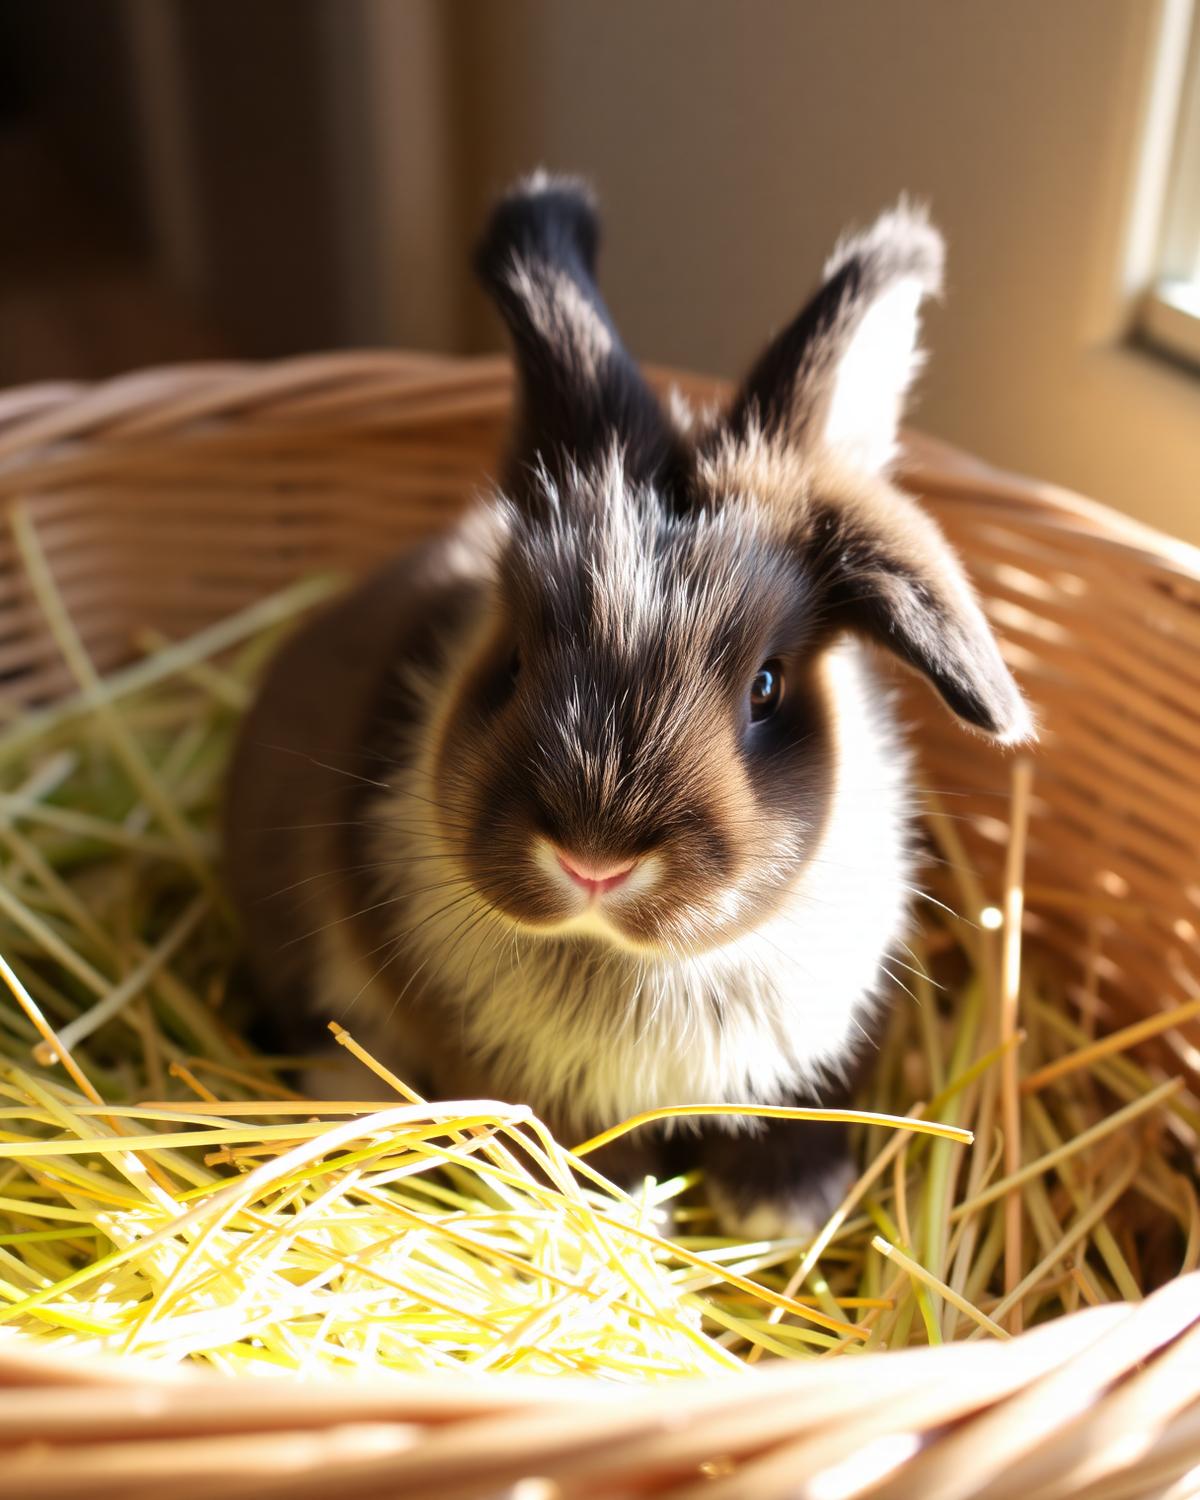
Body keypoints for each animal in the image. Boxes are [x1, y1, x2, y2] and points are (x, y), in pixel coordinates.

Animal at [223, 173, 1032, 1237]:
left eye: (767, 686)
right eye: (514, 661)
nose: (594, 861)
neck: (640, 964)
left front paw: (788, 1207)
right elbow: (580, 1150)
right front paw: (626, 1219)